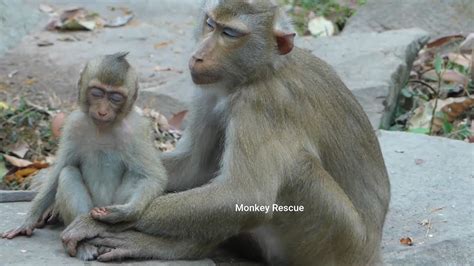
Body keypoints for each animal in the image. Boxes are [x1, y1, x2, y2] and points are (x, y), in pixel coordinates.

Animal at [1, 52, 167, 260]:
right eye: (97, 93)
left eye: (115, 97)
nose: (102, 111)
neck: (102, 128)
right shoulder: (74, 125)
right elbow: (58, 173)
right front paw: (27, 222)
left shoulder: (137, 131)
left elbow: (153, 177)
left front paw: (125, 212)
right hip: (90, 207)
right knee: (67, 173)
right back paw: (83, 243)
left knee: (137, 175)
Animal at [61, 1, 390, 264]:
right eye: (210, 24)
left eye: (229, 34)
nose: (198, 56)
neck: (260, 72)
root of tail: (372, 253)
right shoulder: (208, 92)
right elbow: (195, 166)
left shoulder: (262, 105)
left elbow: (245, 196)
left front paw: (99, 222)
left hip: (336, 243)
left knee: (295, 170)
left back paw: (175, 248)